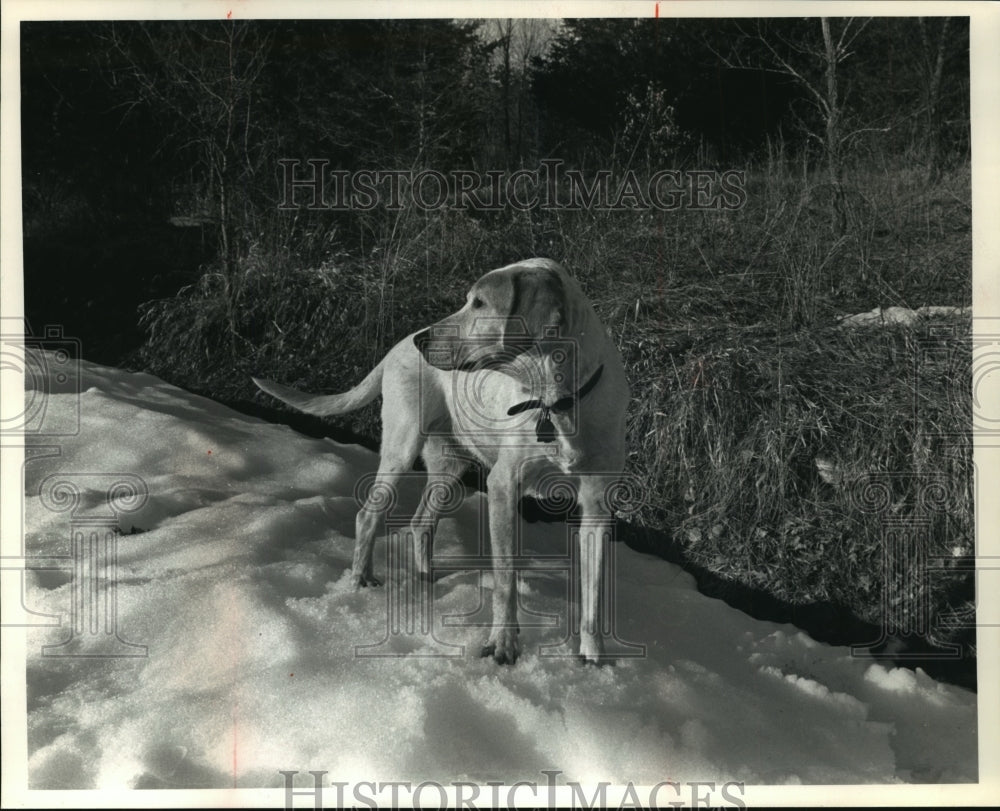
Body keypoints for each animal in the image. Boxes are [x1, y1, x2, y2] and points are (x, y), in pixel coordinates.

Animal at [260, 260, 632, 668]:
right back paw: (359, 581)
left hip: (449, 469)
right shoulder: (503, 487)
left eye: (480, 303)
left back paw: (423, 579)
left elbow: (593, 595)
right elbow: (505, 580)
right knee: (368, 514)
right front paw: (502, 644)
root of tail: (396, 345)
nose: (423, 342)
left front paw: (593, 658)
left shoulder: (596, 508)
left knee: (421, 522)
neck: (558, 402)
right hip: (401, 448)